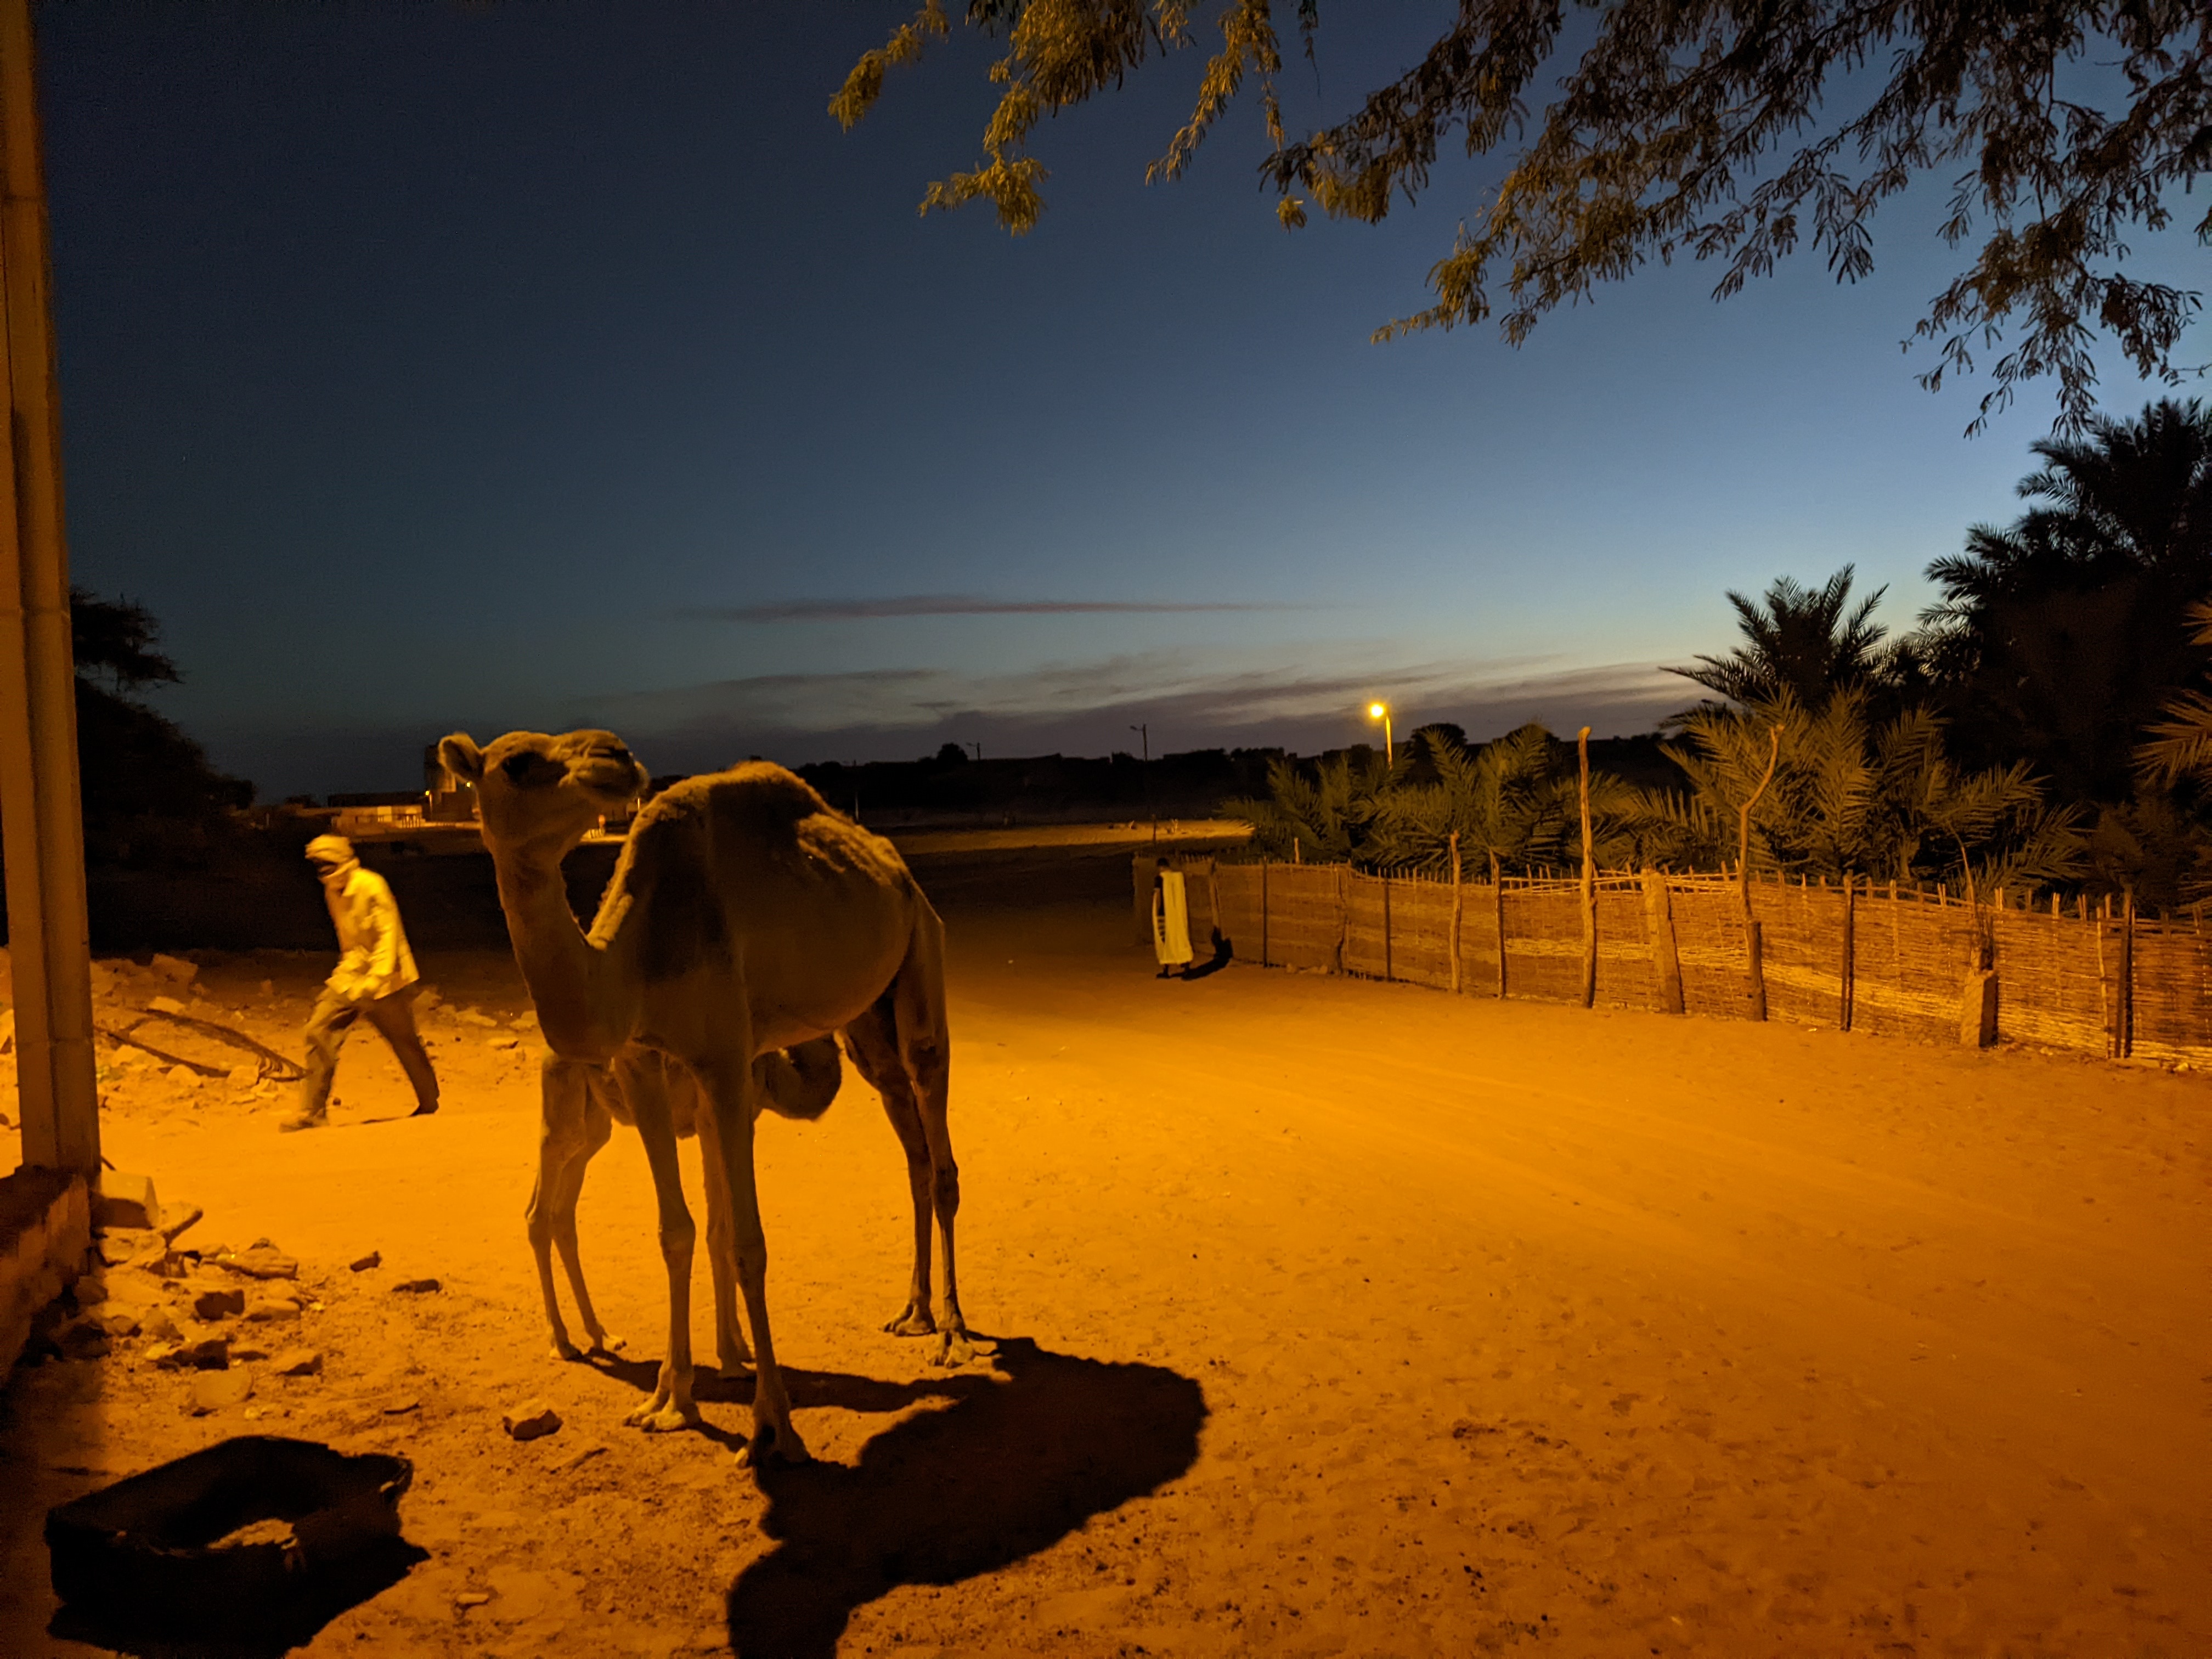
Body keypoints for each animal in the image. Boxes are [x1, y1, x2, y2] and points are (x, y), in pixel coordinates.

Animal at [441, 728, 971, 1464]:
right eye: (517, 763)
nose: (614, 755)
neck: (632, 959)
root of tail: (898, 871)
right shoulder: (644, 1066)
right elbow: (679, 1231)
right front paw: (670, 1401)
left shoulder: (723, 1063)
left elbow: (745, 1241)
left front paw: (773, 1425)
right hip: (867, 1027)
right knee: (914, 1152)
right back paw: (913, 1313)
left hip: (922, 951)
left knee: (936, 1134)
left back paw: (952, 1332)